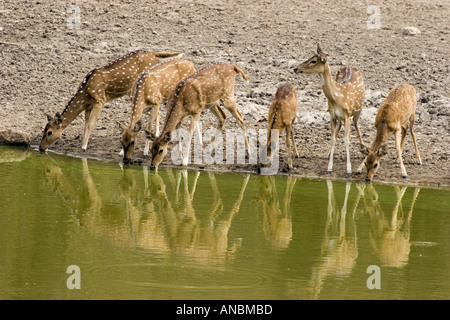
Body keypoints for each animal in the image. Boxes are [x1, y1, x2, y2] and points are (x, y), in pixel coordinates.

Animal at [39, 49, 183, 151]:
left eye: (49, 132)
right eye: (44, 130)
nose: (40, 147)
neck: (85, 92)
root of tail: (153, 54)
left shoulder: (100, 100)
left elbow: (91, 123)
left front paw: (84, 146)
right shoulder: (88, 105)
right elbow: (85, 122)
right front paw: (82, 141)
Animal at [296, 44, 366, 175]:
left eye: (314, 61)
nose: (296, 68)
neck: (338, 98)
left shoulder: (347, 114)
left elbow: (346, 139)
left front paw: (349, 169)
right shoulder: (332, 115)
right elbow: (333, 138)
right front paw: (329, 167)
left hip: (358, 108)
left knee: (357, 124)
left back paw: (363, 150)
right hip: (339, 117)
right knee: (339, 128)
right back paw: (328, 155)